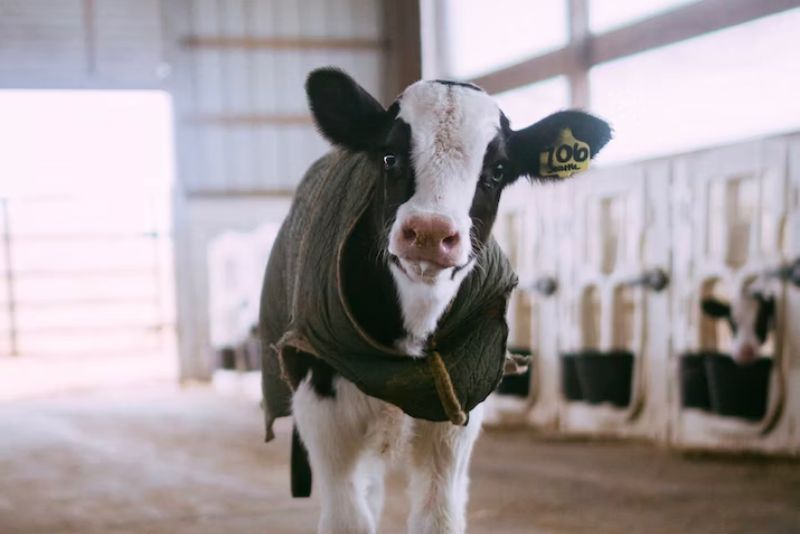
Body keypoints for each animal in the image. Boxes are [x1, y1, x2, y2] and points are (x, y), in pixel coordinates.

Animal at [260, 67, 611, 534]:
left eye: (499, 169)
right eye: (389, 155)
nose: (429, 232)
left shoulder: (458, 410)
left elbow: (439, 519)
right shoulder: (321, 403)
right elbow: (347, 519)